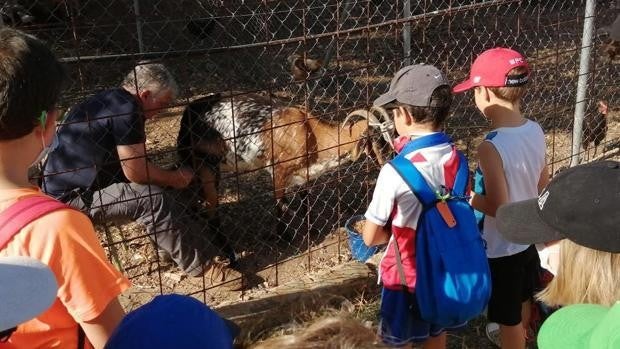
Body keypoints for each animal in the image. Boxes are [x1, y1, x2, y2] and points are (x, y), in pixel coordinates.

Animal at [177, 92, 390, 228]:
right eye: (376, 139)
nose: (386, 160)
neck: (312, 135)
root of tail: (187, 113)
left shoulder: (304, 174)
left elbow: (305, 201)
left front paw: (310, 230)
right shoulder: (278, 170)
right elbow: (280, 204)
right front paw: (283, 238)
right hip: (199, 162)